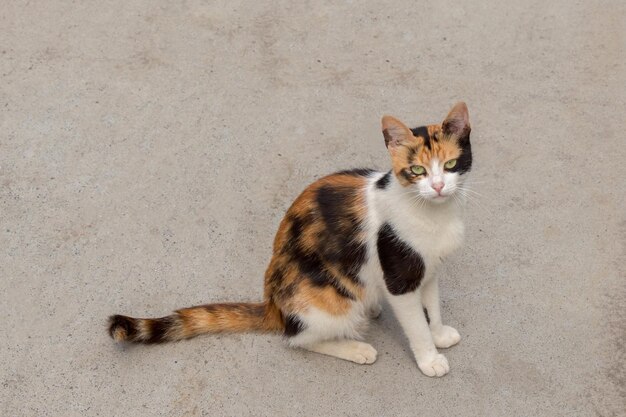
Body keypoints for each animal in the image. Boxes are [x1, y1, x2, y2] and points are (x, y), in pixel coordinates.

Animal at [108, 101, 468, 376]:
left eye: (450, 164)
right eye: (417, 171)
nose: (438, 187)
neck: (433, 215)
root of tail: (273, 306)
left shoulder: (428, 269)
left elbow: (431, 306)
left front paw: (439, 333)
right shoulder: (399, 276)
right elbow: (416, 324)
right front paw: (429, 359)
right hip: (328, 298)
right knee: (297, 338)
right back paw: (355, 348)